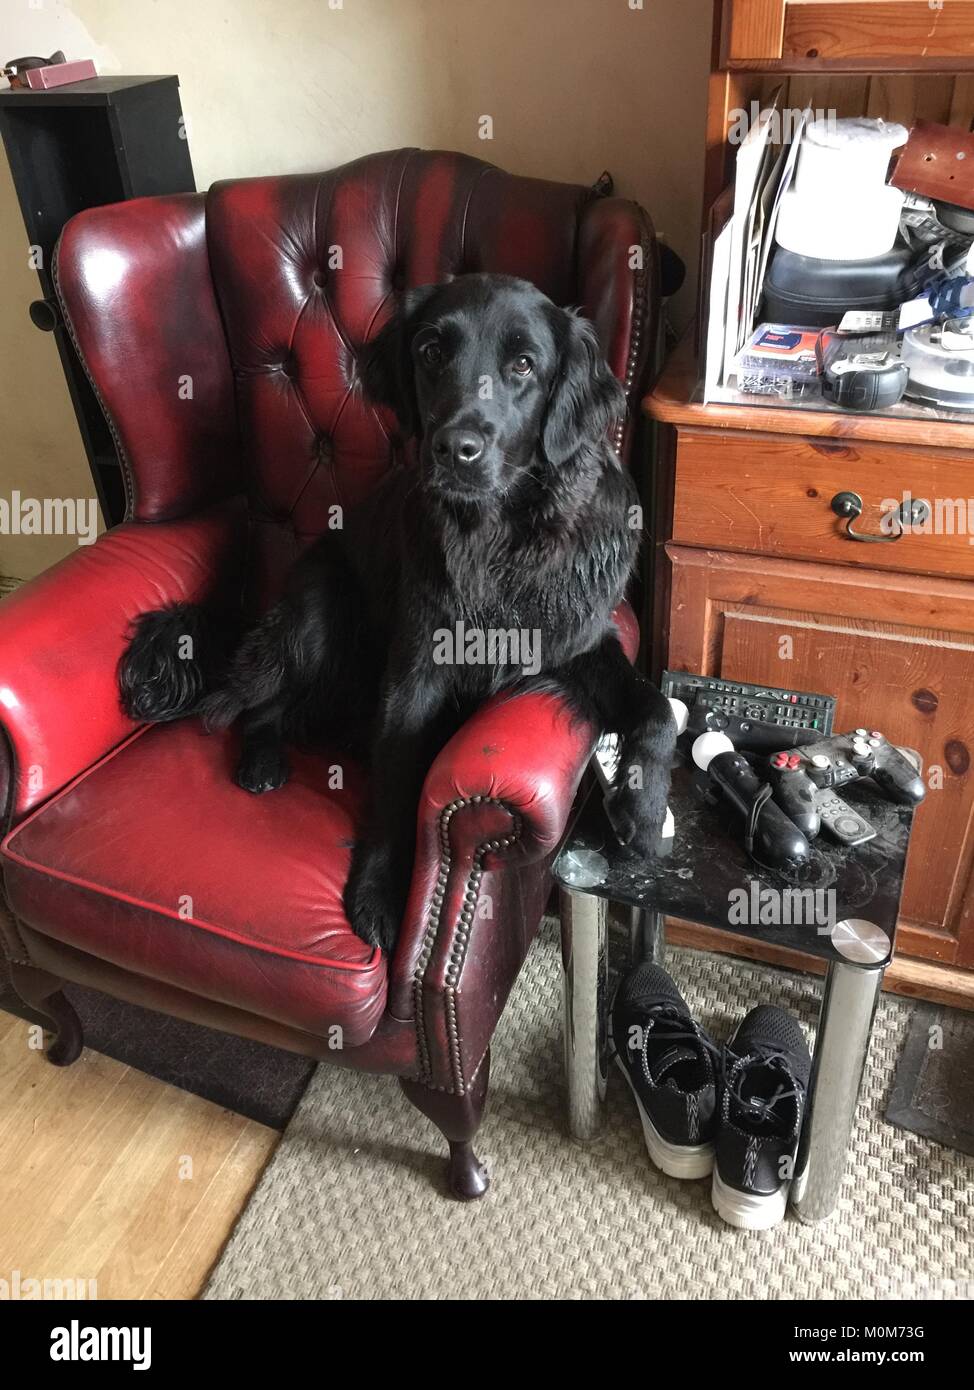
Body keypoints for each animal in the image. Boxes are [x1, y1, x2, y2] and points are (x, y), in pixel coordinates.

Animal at [118, 279, 672, 956]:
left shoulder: (577, 639)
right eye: (431, 352)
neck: (503, 538)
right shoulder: (414, 671)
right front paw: (381, 890)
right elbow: (396, 778)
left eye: (523, 364)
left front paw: (643, 812)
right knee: (249, 706)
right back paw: (262, 760)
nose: (455, 449)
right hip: (318, 613)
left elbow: (655, 708)